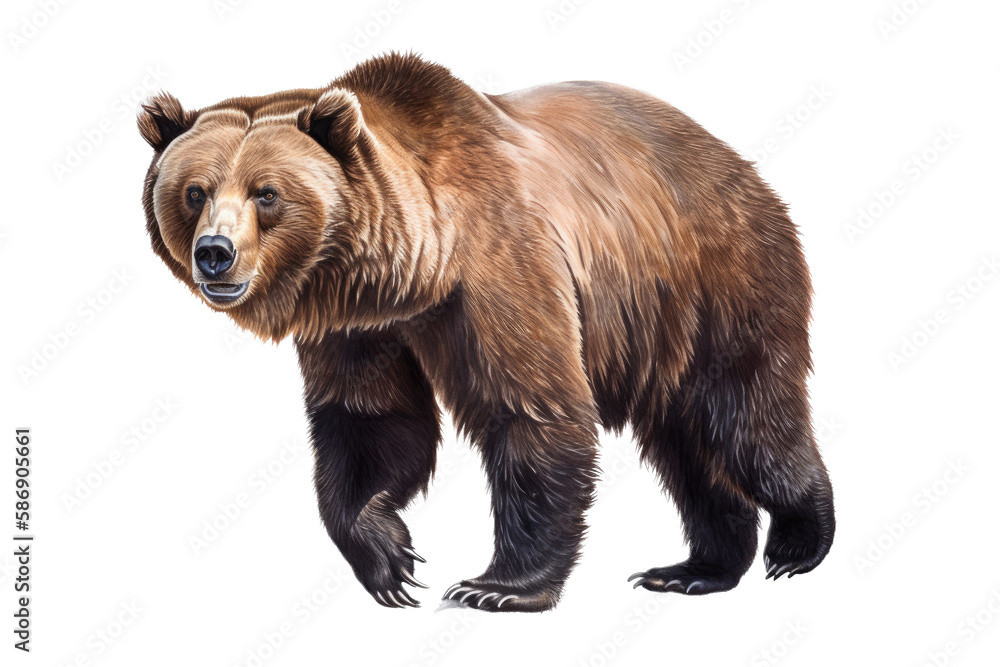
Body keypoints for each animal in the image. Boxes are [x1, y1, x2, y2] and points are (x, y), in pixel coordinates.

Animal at [138, 52, 834, 612]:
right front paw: (388, 559)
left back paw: (797, 542)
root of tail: (740, 166)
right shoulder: (358, 325)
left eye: (267, 193)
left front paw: (496, 586)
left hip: (716, 279)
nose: (215, 253)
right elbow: (370, 421)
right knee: (686, 446)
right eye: (195, 191)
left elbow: (531, 409)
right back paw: (696, 568)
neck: (415, 268)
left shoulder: (501, 266)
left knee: (745, 415)